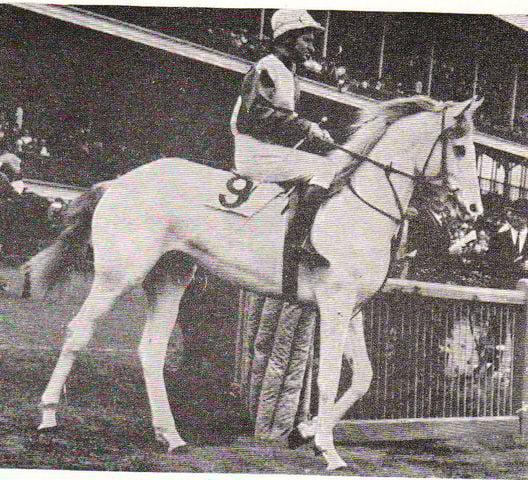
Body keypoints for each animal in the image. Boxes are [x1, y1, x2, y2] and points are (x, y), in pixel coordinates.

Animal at [27, 95, 484, 471]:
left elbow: (364, 378)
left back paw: (171, 436)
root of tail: (118, 182)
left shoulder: (352, 309)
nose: (476, 212)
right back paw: (48, 416)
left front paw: (306, 433)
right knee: (78, 332)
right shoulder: (333, 306)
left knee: (151, 350)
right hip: (117, 275)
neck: (358, 208)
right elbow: (329, 377)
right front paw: (329, 450)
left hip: (170, 277)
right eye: (461, 148)